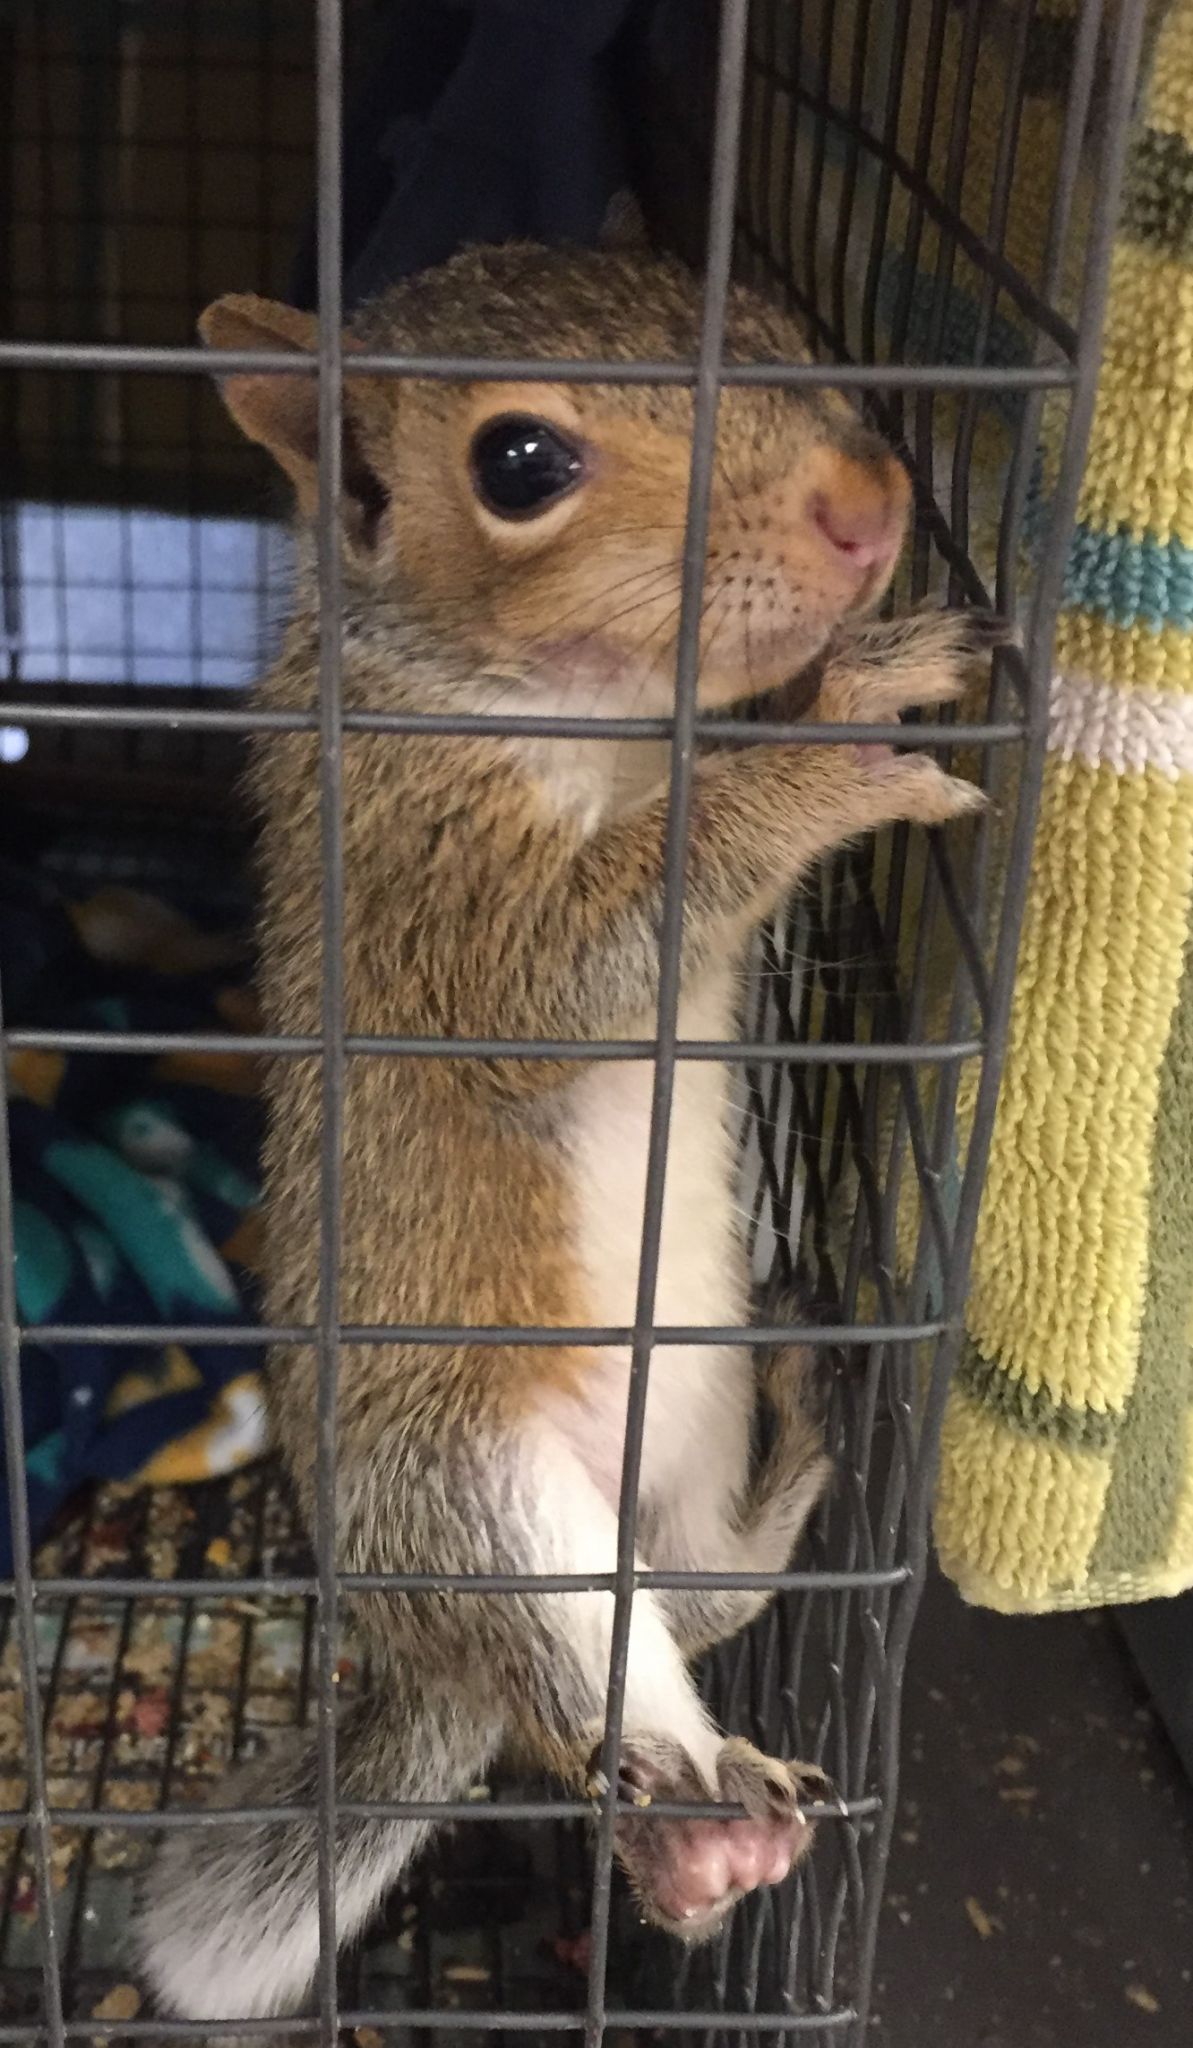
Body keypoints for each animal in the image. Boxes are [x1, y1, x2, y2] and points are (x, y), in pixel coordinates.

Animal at [134, 243, 989, 2021]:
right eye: (520, 464)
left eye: (769, 318)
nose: (867, 503)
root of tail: (428, 1656)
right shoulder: (417, 875)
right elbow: (569, 961)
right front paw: (814, 742)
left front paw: (842, 675)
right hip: (470, 1497)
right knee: (577, 1690)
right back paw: (695, 1842)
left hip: (691, 1424)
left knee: (697, 1591)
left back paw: (799, 1463)